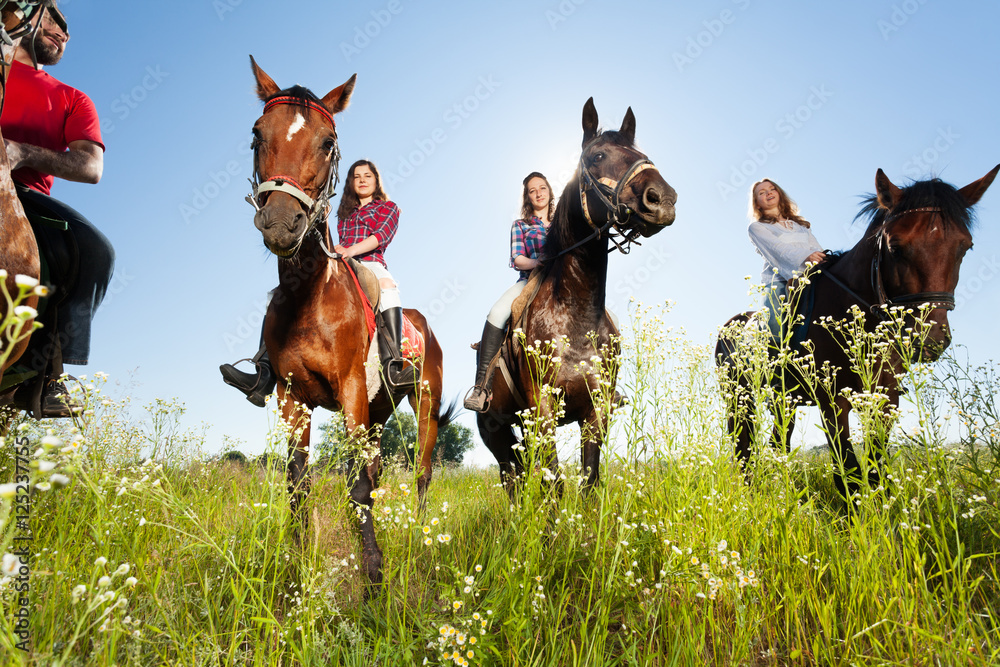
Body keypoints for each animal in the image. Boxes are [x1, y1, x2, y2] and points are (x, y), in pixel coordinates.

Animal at [244, 56, 452, 588]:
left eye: (326, 141)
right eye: (257, 134)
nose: (281, 222)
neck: (310, 298)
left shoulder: (353, 390)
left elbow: (358, 488)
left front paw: (373, 574)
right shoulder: (292, 399)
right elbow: (299, 484)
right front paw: (297, 568)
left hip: (422, 406)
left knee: (421, 474)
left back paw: (419, 539)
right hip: (378, 416)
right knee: (377, 470)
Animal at [478, 98, 680, 496]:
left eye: (642, 155)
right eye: (598, 155)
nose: (662, 199)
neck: (575, 317)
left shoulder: (596, 412)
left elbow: (589, 482)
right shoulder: (543, 409)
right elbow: (555, 486)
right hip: (496, 432)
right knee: (511, 480)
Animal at [720, 166, 1000, 500]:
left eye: (965, 247)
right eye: (895, 247)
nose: (929, 340)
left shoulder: (887, 397)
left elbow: (877, 463)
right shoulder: (832, 400)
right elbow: (848, 471)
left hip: (782, 400)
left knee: (778, 444)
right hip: (739, 400)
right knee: (743, 450)